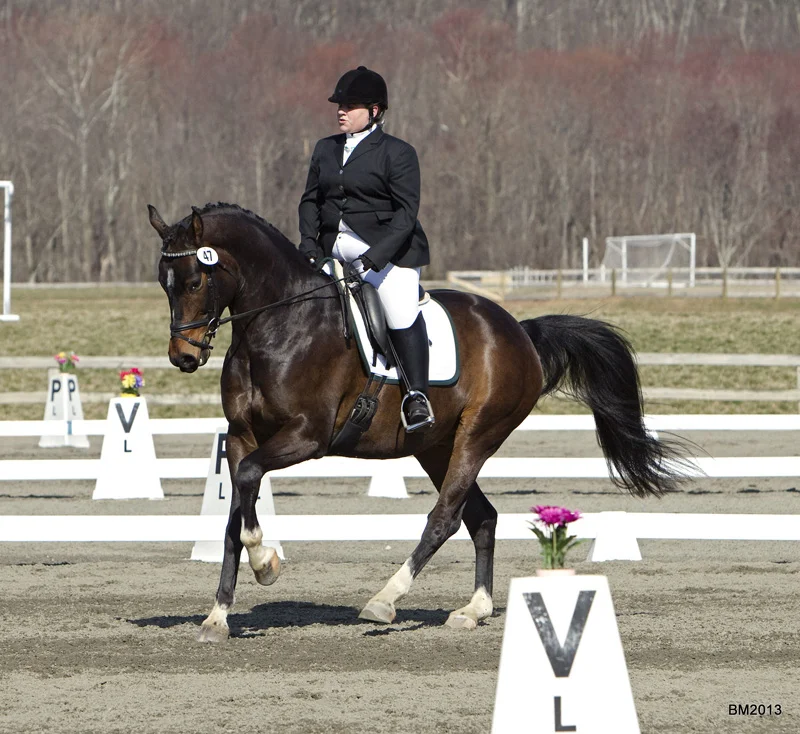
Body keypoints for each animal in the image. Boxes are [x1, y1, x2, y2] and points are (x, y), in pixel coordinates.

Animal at [149, 202, 687, 643]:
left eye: (195, 281)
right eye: (164, 284)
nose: (183, 357)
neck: (278, 326)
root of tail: (519, 330)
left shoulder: (306, 436)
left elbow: (246, 486)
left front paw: (266, 564)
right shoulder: (243, 437)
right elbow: (235, 511)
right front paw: (218, 616)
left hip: (477, 435)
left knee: (445, 517)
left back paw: (384, 600)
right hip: (434, 446)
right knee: (481, 516)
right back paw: (473, 610)